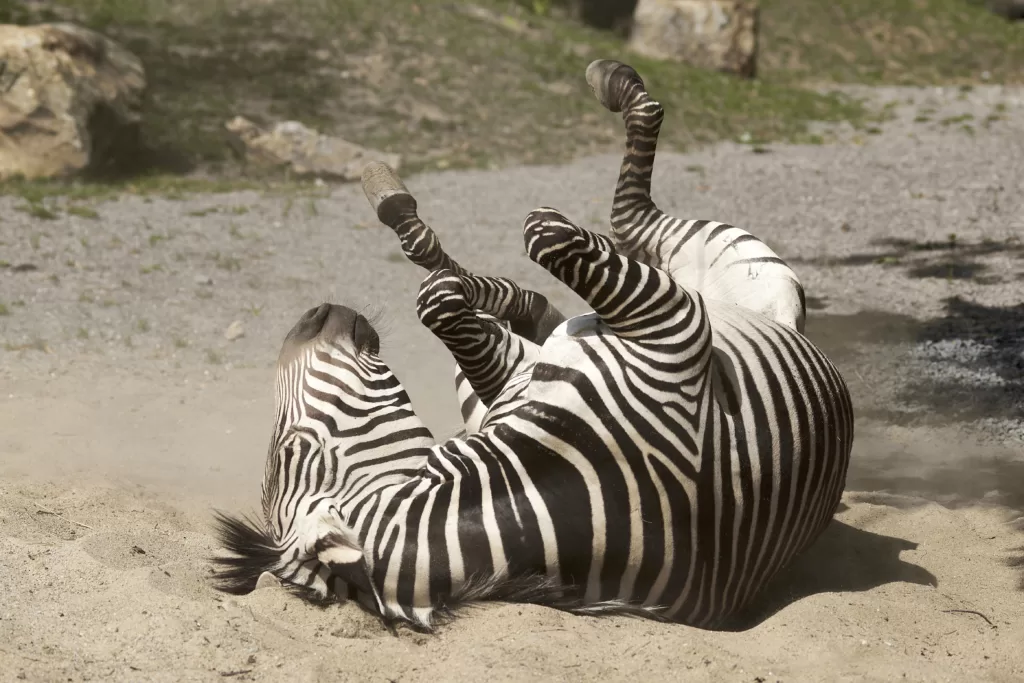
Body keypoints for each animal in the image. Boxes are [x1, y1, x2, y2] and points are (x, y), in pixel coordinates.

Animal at [214, 58, 856, 630]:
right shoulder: (673, 331)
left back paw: (411, 216)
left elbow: (444, 297)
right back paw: (618, 86)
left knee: (505, 306)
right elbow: (541, 233)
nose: (314, 315)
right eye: (290, 454)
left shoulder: (511, 385)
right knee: (629, 213)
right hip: (730, 264)